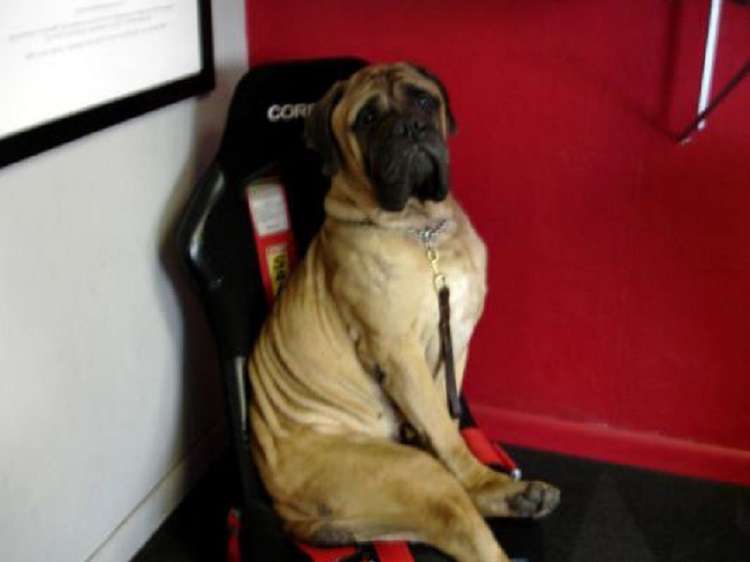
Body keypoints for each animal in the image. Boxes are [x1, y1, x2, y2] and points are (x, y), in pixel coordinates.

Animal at [248, 62, 560, 562]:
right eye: (367, 119)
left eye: (424, 100)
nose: (410, 128)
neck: (423, 229)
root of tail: (286, 509)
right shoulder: (399, 352)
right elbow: (445, 431)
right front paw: (477, 475)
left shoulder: (456, 338)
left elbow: (445, 419)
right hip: (414, 477)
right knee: (464, 519)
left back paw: (519, 495)